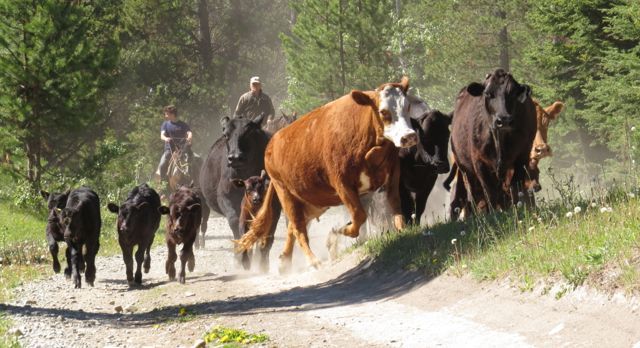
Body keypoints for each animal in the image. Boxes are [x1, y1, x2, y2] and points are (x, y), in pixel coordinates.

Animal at [199, 114, 282, 272]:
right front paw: (240, 258)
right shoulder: (225, 198)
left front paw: (263, 263)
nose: (235, 157)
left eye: (248, 133)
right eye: (226, 134)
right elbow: (235, 221)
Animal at [235, 77, 416, 272]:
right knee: (298, 228)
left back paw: (285, 262)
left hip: (311, 201)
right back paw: (313, 260)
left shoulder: (392, 179)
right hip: (285, 193)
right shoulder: (343, 185)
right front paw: (339, 231)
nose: (409, 136)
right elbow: (359, 215)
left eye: (407, 106)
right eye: (383, 111)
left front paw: (403, 232)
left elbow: (397, 209)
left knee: (293, 227)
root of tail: (272, 143)